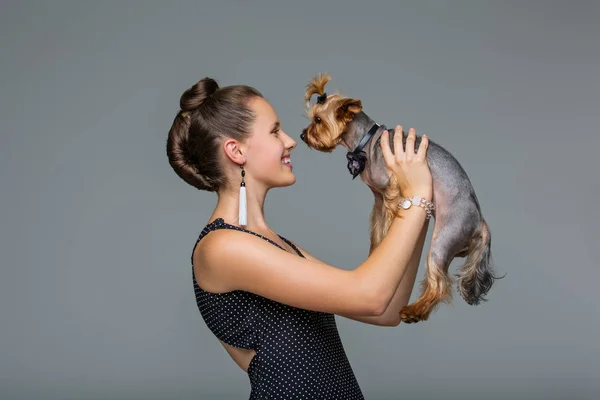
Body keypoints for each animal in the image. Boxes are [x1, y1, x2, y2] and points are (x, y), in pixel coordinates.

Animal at [300, 75, 502, 324]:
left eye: (318, 120)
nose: (303, 135)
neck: (367, 141)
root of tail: (480, 222)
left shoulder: (391, 192)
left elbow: (387, 225)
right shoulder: (379, 200)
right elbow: (378, 231)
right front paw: (376, 255)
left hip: (444, 238)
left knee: (439, 284)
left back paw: (414, 311)